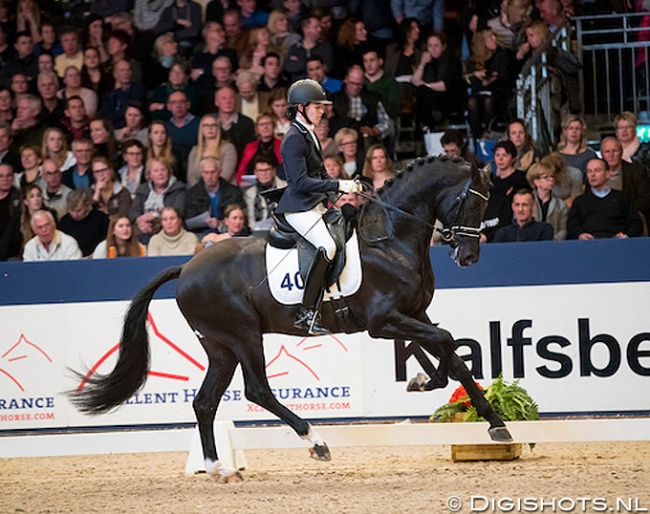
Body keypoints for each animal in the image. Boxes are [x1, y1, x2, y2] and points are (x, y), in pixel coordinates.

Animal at [71, 155, 513, 482]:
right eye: (473, 202)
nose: (468, 257)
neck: (390, 239)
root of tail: (187, 266)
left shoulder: (413, 312)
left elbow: (450, 353)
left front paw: (494, 422)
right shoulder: (383, 321)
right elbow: (445, 340)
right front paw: (430, 383)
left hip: (219, 345)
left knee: (205, 402)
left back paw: (219, 468)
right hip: (244, 335)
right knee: (257, 391)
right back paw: (315, 441)